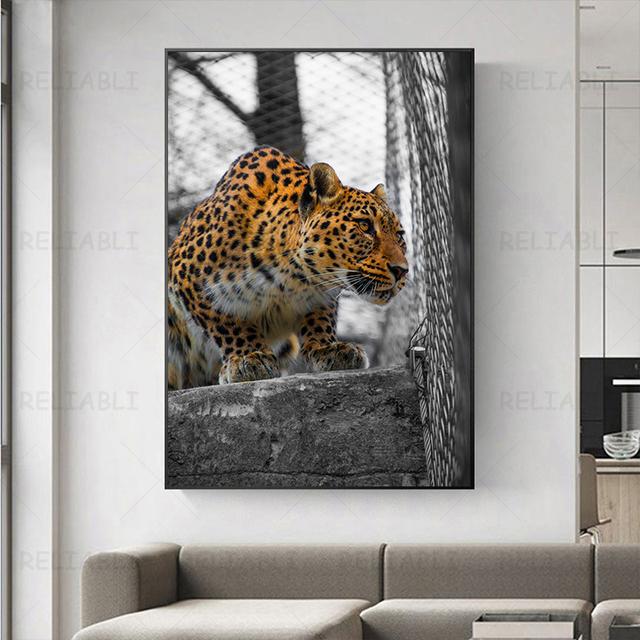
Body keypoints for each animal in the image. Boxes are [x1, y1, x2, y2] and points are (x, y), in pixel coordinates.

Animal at [167, 146, 408, 389]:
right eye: (365, 226)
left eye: (399, 235)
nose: (401, 270)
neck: (292, 277)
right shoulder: (186, 276)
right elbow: (226, 322)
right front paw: (248, 357)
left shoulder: (320, 294)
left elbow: (320, 319)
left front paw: (327, 349)